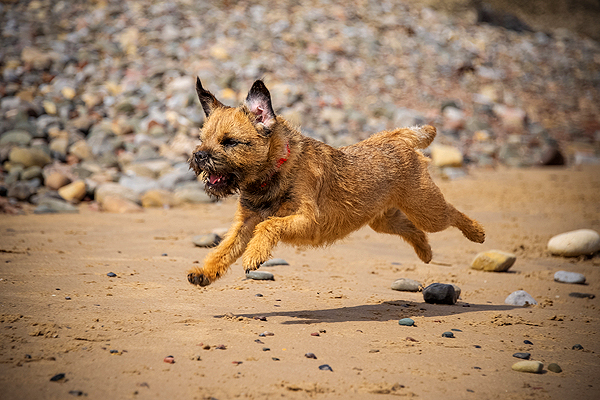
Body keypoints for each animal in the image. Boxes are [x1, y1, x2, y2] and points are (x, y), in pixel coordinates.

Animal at [185, 78, 486, 286]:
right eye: (202, 139)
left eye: (229, 142)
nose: (199, 155)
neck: (275, 171)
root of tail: (397, 138)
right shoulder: (244, 224)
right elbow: (223, 250)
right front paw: (205, 272)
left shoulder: (309, 219)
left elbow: (269, 225)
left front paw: (254, 253)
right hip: (383, 220)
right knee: (412, 229)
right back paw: (425, 252)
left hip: (425, 208)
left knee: (450, 213)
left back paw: (476, 232)